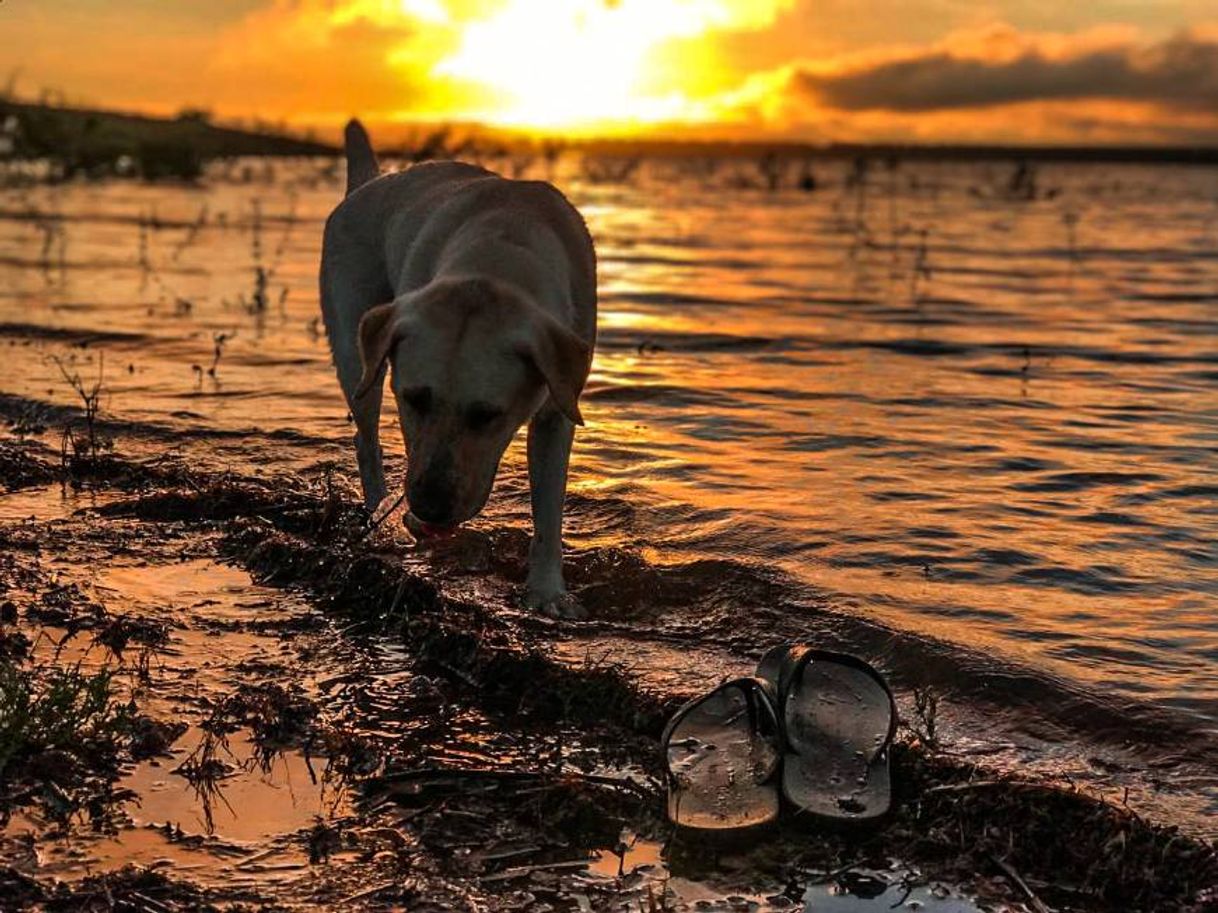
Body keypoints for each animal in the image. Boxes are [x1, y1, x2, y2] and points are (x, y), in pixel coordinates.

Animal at [319, 121, 594, 618]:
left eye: (488, 415)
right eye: (414, 398)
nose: (430, 508)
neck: (499, 255)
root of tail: (367, 183)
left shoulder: (557, 408)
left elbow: (549, 511)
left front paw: (547, 593)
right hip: (355, 352)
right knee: (366, 438)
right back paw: (382, 514)